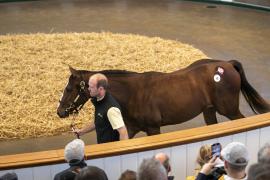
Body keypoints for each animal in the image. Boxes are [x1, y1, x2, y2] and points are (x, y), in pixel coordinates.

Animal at [57, 59, 270, 138]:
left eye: (69, 89)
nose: (60, 112)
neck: (133, 92)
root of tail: (227, 64)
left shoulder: (153, 129)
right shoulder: (132, 128)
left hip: (230, 110)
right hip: (209, 111)